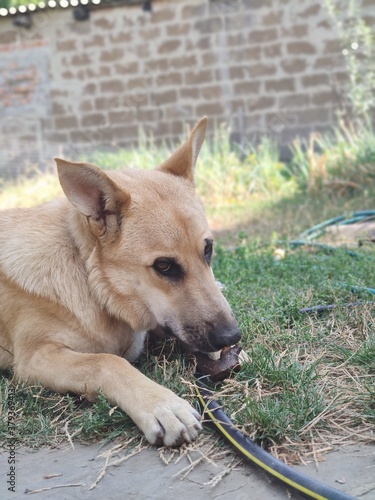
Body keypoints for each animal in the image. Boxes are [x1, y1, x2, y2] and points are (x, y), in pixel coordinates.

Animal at [0, 117, 241, 446]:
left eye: (208, 250)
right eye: (164, 266)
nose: (232, 337)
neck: (91, 282)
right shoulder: (34, 358)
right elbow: (107, 362)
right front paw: (161, 404)